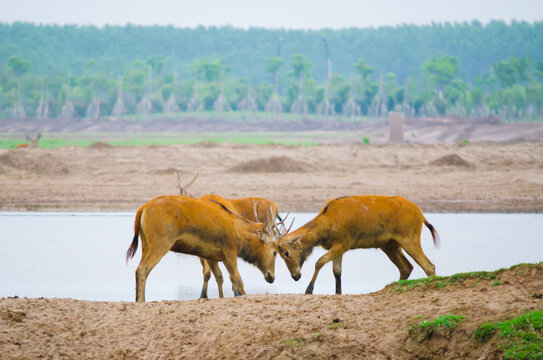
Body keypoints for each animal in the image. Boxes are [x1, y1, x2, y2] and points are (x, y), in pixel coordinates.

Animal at [126, 195, 280, 302]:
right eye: (274, 252)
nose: (271, 277)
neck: (235, 227)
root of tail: (143, 208)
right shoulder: (230, 252)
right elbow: (237, 280)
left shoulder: (212, 256)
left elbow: (220, 277)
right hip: (160, 245)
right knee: (143, 269)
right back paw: (142, 301)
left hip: (146, 245)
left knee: (138, 269)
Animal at [276, 197, 442, 296]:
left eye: (286, 253)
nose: (295, 276)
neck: (326, 225)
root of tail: (421, 215)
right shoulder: (339, 248)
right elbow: (337, 271)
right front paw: (338, 293)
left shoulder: (343, 243)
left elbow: (319, 262)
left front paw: (309, 290)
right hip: (390, 245)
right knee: (407, 267)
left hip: (409, 239)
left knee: (429, 266)